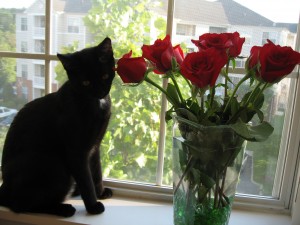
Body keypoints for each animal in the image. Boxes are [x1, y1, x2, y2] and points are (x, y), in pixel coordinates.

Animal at [0, 37, 115, 217]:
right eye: (86, 82)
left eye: (104, 76)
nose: (100, 92)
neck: (94, 103)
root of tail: (4, 188)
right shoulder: (76, 151)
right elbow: (86, 180)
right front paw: (93, 206)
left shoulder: (95, 146)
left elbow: (96, 172)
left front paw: (100, 193)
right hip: (54, 166)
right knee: (20, 205)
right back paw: (63, 209)